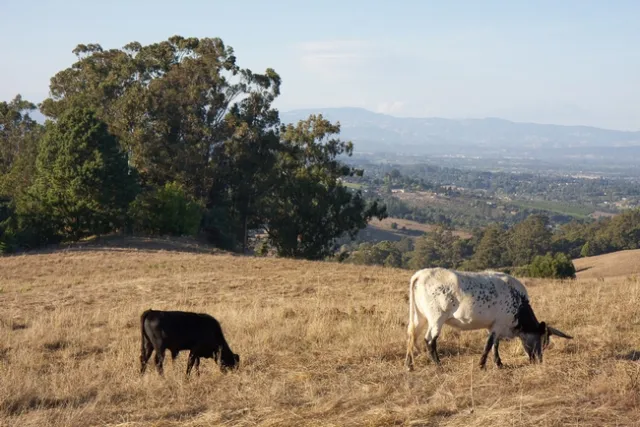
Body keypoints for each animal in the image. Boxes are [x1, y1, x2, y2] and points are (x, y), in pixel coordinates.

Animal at [404, 268, 573, 371]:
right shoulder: (498, 325)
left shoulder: (493, 326)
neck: (518, 303)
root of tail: (421, 274)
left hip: (420, 317)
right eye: (542, 340)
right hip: (436, 318)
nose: (538, 360)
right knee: (429, 340)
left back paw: (409, 365)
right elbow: (489, 344)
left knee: (412, 337)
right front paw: (482, 365)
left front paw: (498, 363)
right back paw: (439, 366)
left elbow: (494, 345)